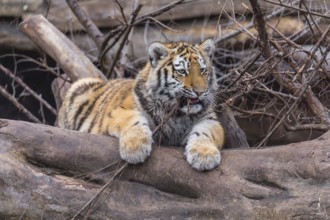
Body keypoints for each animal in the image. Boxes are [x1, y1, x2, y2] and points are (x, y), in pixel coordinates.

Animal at [58, 39, 226, 170]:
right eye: (183, 71)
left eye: (203, 71)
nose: (200, 92)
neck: (178, 113)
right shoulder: (120, 111)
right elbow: (134, 121)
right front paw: (135, 149)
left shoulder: (209, 120)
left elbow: (204, 133)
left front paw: (204, 155)